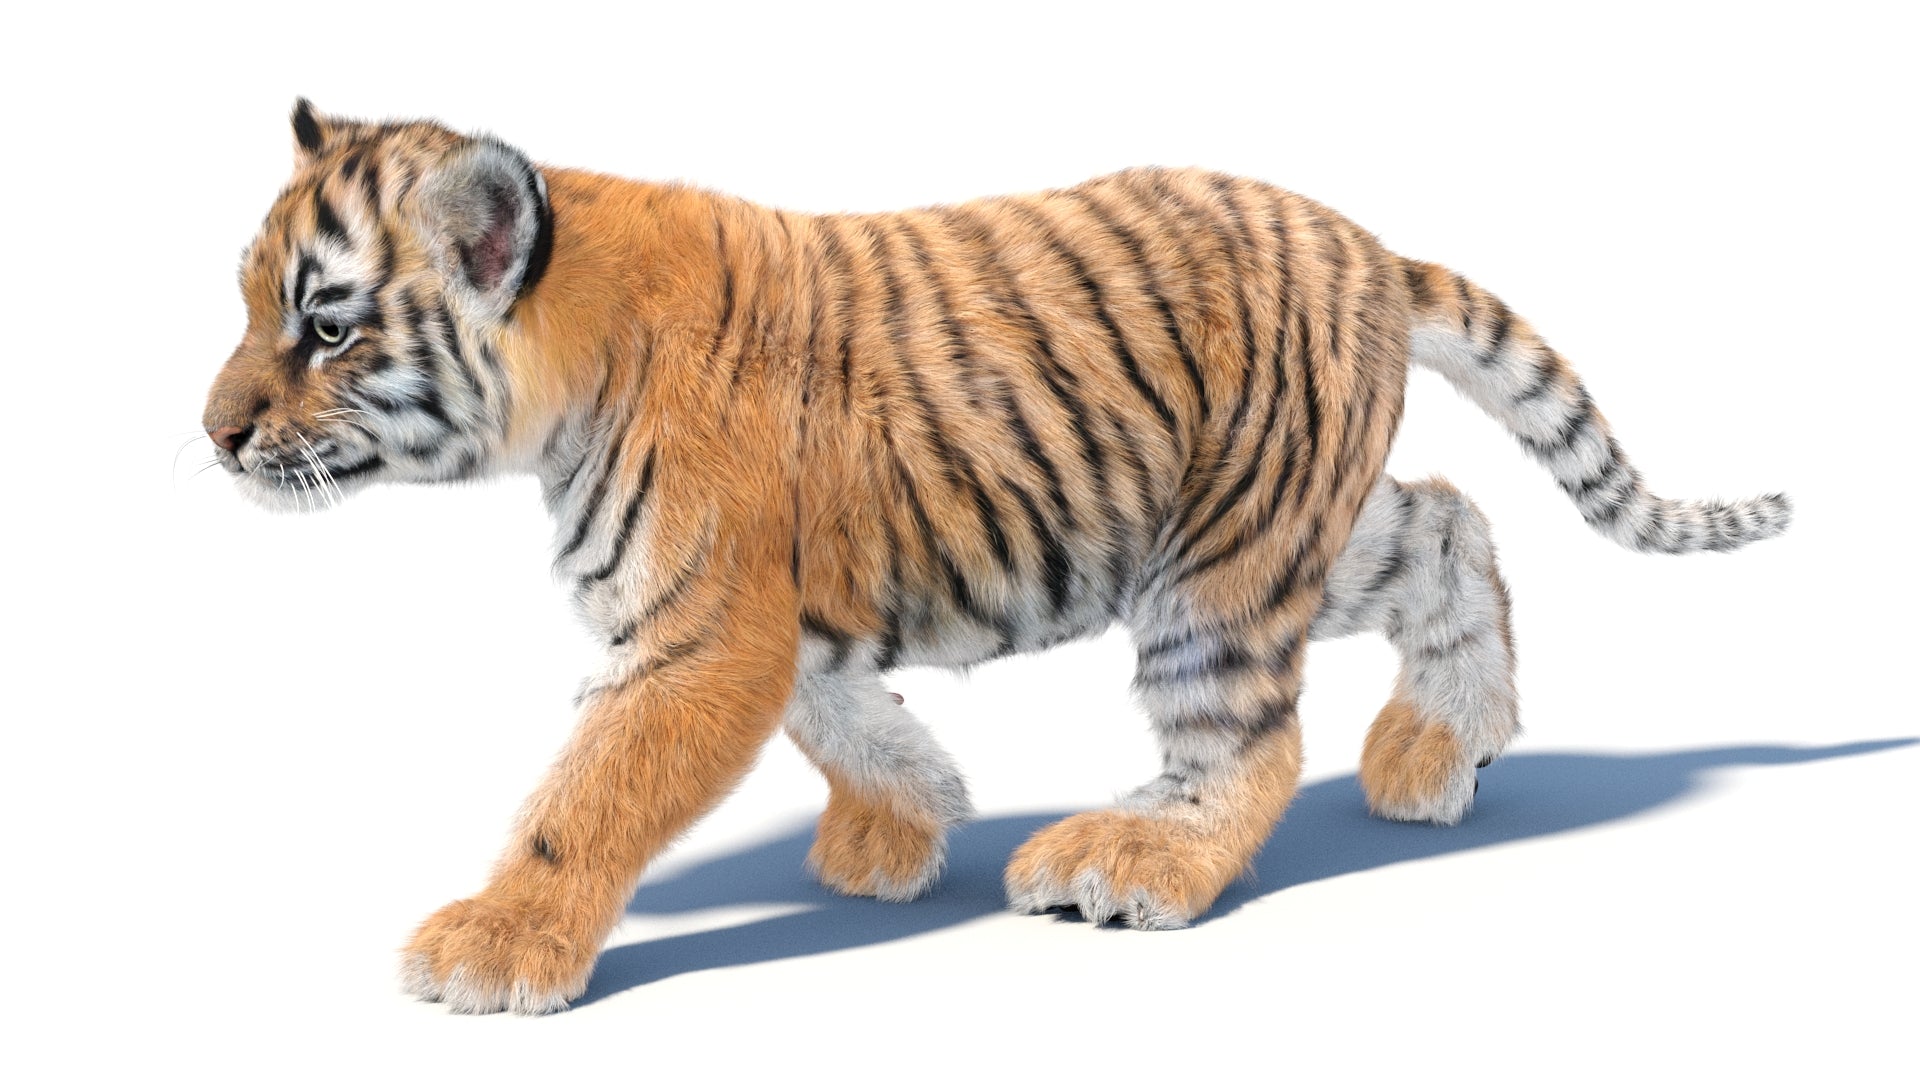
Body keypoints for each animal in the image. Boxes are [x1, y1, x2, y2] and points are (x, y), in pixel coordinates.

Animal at [202, 100, 1791, 1014]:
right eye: (249, 302)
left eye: (326, 327)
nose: (212, 435)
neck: (557, 379)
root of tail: (1364, 245)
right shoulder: (775, 618)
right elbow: (841, 712)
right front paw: (906, 819)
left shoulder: (703, 631)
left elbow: (589, 793)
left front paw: (493, 941)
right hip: (1283, 522)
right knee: (1453, 521)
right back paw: (1440, 755)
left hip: (1218, 565)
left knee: (1253, 741)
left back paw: (1136, 859)